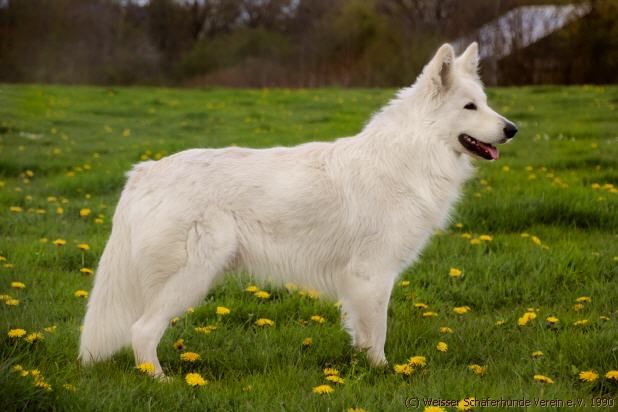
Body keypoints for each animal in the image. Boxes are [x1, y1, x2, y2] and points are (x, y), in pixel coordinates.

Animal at [80, 42, 516, 376]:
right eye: (470, 107)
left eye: (485, 104)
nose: (512, 129)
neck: (412, 155)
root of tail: (145, 171)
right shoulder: (372, 275)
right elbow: (378, 335)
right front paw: (384, 374)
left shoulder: (363, 282)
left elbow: (362, 334)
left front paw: (364, 368)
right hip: (192, 276)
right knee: (141, 331)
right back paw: (162, 382)